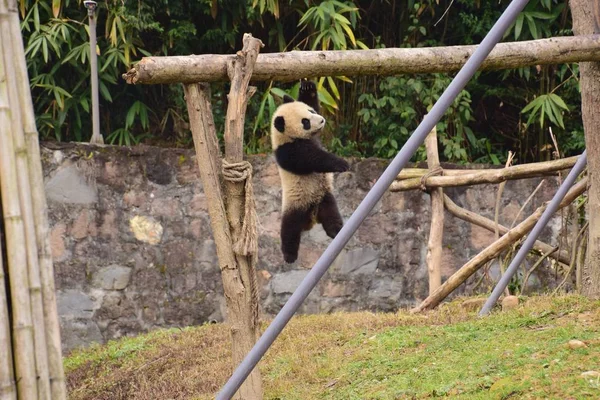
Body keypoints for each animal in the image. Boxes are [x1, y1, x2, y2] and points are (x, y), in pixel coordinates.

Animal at [270, 80, 350, 262]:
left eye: (311, 111)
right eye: (305, 122)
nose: (321, 120)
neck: (286, 137)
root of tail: (311, 219)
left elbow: (311, 100)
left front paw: (307, 87)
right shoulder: (288, 151)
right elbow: (312, 159)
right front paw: (341, 164)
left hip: (324, 198)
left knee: (331, 215)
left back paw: (336, 230)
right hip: (295, 204)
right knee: (289, 230)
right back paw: (289, 255)